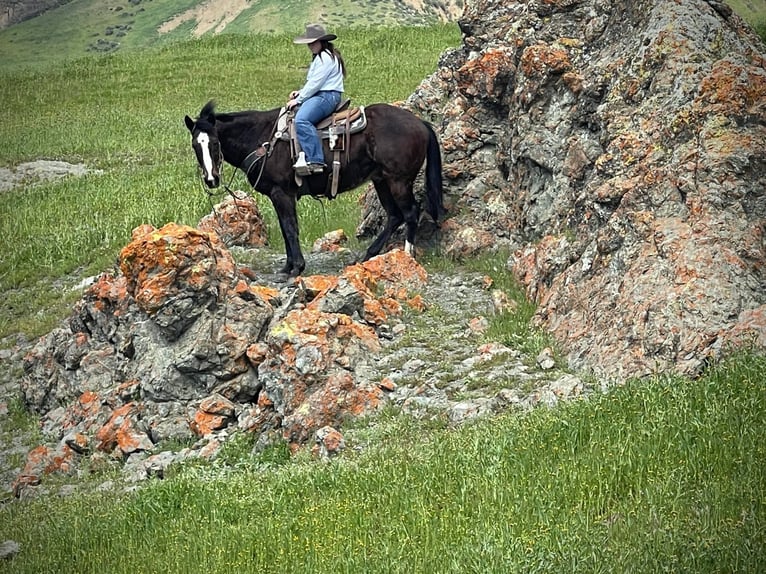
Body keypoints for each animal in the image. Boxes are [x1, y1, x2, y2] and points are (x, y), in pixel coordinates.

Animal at [184, 100, 444, 276]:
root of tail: (419, 123)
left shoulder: (281, 193)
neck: (262, 139)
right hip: (381, 180)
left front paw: (296, 268)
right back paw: (367, 256)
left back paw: (407, 254)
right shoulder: (279, 196)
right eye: (196, 145)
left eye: (215, 143)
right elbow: (285, 228)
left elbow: (290, 228)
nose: (211, 179)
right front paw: (288, 266)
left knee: (410, 213)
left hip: (399, 181)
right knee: (394, 215)